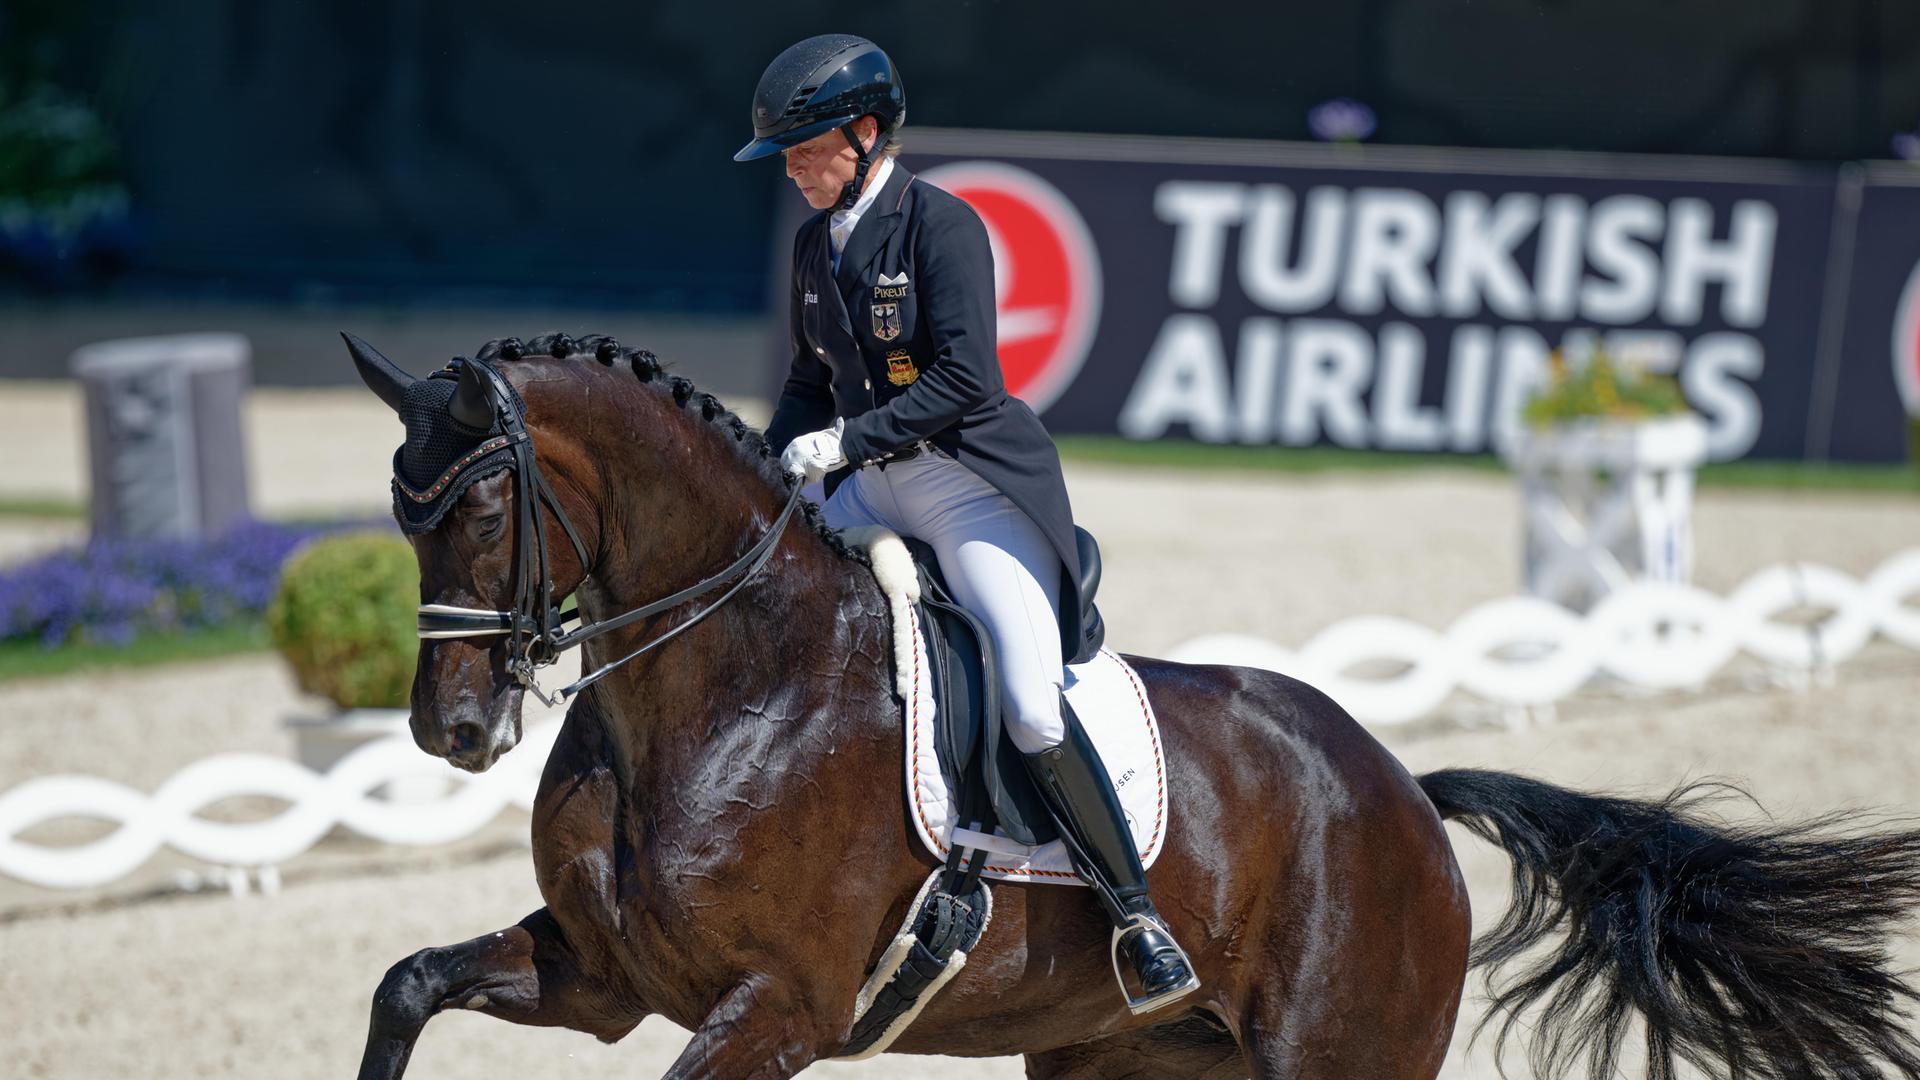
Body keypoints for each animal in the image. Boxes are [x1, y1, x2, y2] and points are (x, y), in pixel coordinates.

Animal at [349, 331, 1920, 1080]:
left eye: (479, 505)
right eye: (396, 509)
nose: (450, 733)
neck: (725, 684)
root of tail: (1404, 791)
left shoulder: (776, 1010)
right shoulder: (611, 979)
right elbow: (406, 984)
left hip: (1342, 1056)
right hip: (1121, 1060)